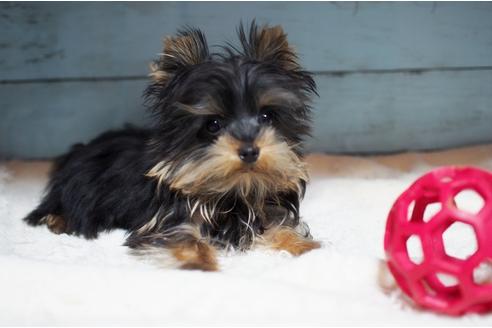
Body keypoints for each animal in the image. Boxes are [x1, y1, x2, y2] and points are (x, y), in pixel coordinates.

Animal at [24, 21, 320, 270]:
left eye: (266, 117)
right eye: (213, 124)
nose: (249, 151)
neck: (234, 191)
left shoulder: (265, 206)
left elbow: (280, 225)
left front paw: (304, 247)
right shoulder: (166, 219)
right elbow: (182, 237)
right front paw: (200, 264)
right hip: (82, 187)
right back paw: (57, 220)